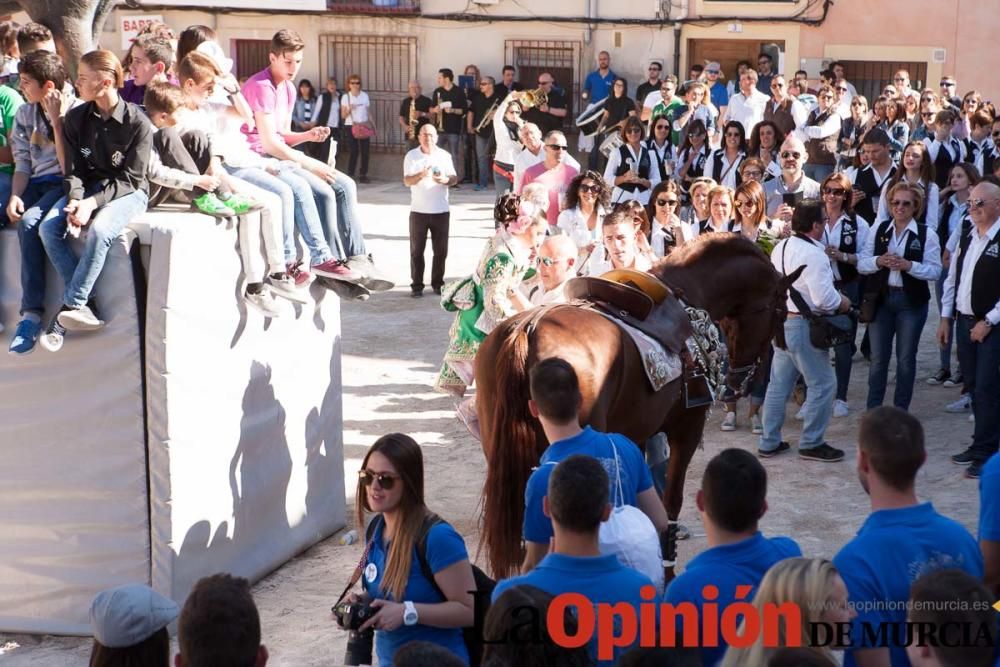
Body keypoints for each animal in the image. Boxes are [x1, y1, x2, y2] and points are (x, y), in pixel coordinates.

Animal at [472, 235, 800, 580]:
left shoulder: (637, 432)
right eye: (781, 311)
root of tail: (529, 328)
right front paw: (666, 573)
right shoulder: (687, 429)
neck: (689, 295)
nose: (745, 380)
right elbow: (669, 504)